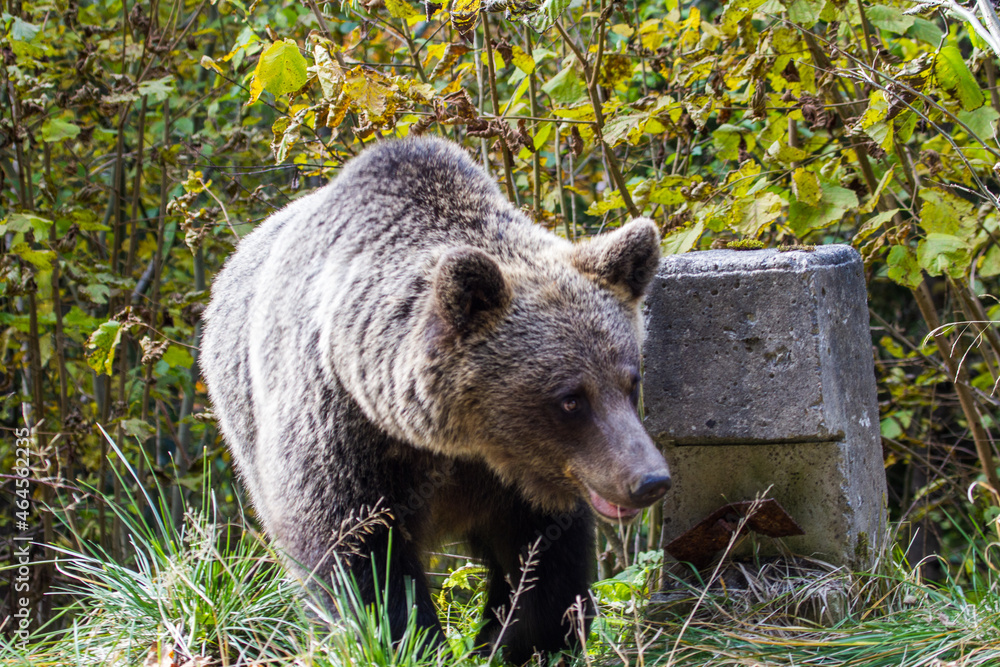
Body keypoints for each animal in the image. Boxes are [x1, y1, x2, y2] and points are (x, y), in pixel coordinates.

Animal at [200, 136, 672, 664]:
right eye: (571, 399)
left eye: (631, 381)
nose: (650, 480)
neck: (457, 442)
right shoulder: (343, 430)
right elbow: (356, 555)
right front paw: (410, 639)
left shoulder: (522, 482)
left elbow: (545, 562)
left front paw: (520, 640)